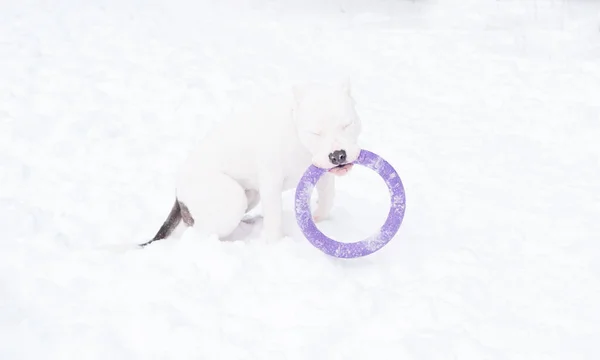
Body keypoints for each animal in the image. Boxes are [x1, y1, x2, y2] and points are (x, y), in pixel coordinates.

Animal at [142, 80, 360, 246]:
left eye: (347, 124)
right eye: (315, 132)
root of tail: (178, 193)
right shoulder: (271, 181)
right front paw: (277, 243)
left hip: (251, 195)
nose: (338, 155)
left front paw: (319, 218)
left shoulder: (322, 172)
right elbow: (275, 217)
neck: (296, 131)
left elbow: (328, 197)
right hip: (231, 197)